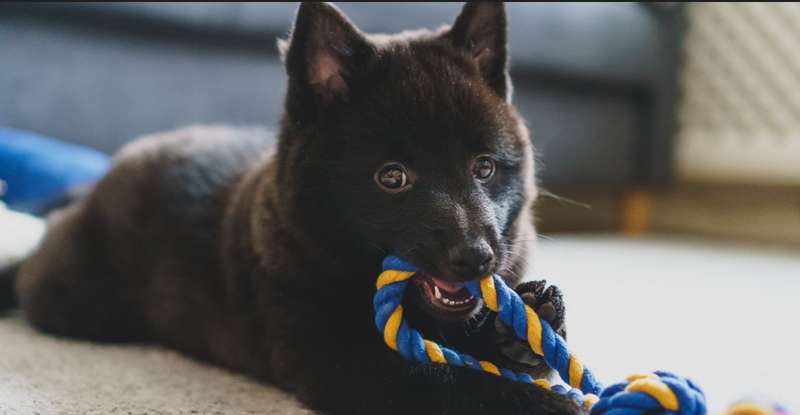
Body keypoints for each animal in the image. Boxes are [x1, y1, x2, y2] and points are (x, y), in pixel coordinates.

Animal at [0, 3, 580, 415]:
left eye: (484, 168)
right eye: (392, 177)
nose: (476, 257)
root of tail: (98, 182)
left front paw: (524, 325)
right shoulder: (344, 363)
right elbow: (450, 382)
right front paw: (546, 403)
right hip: (73, 298)